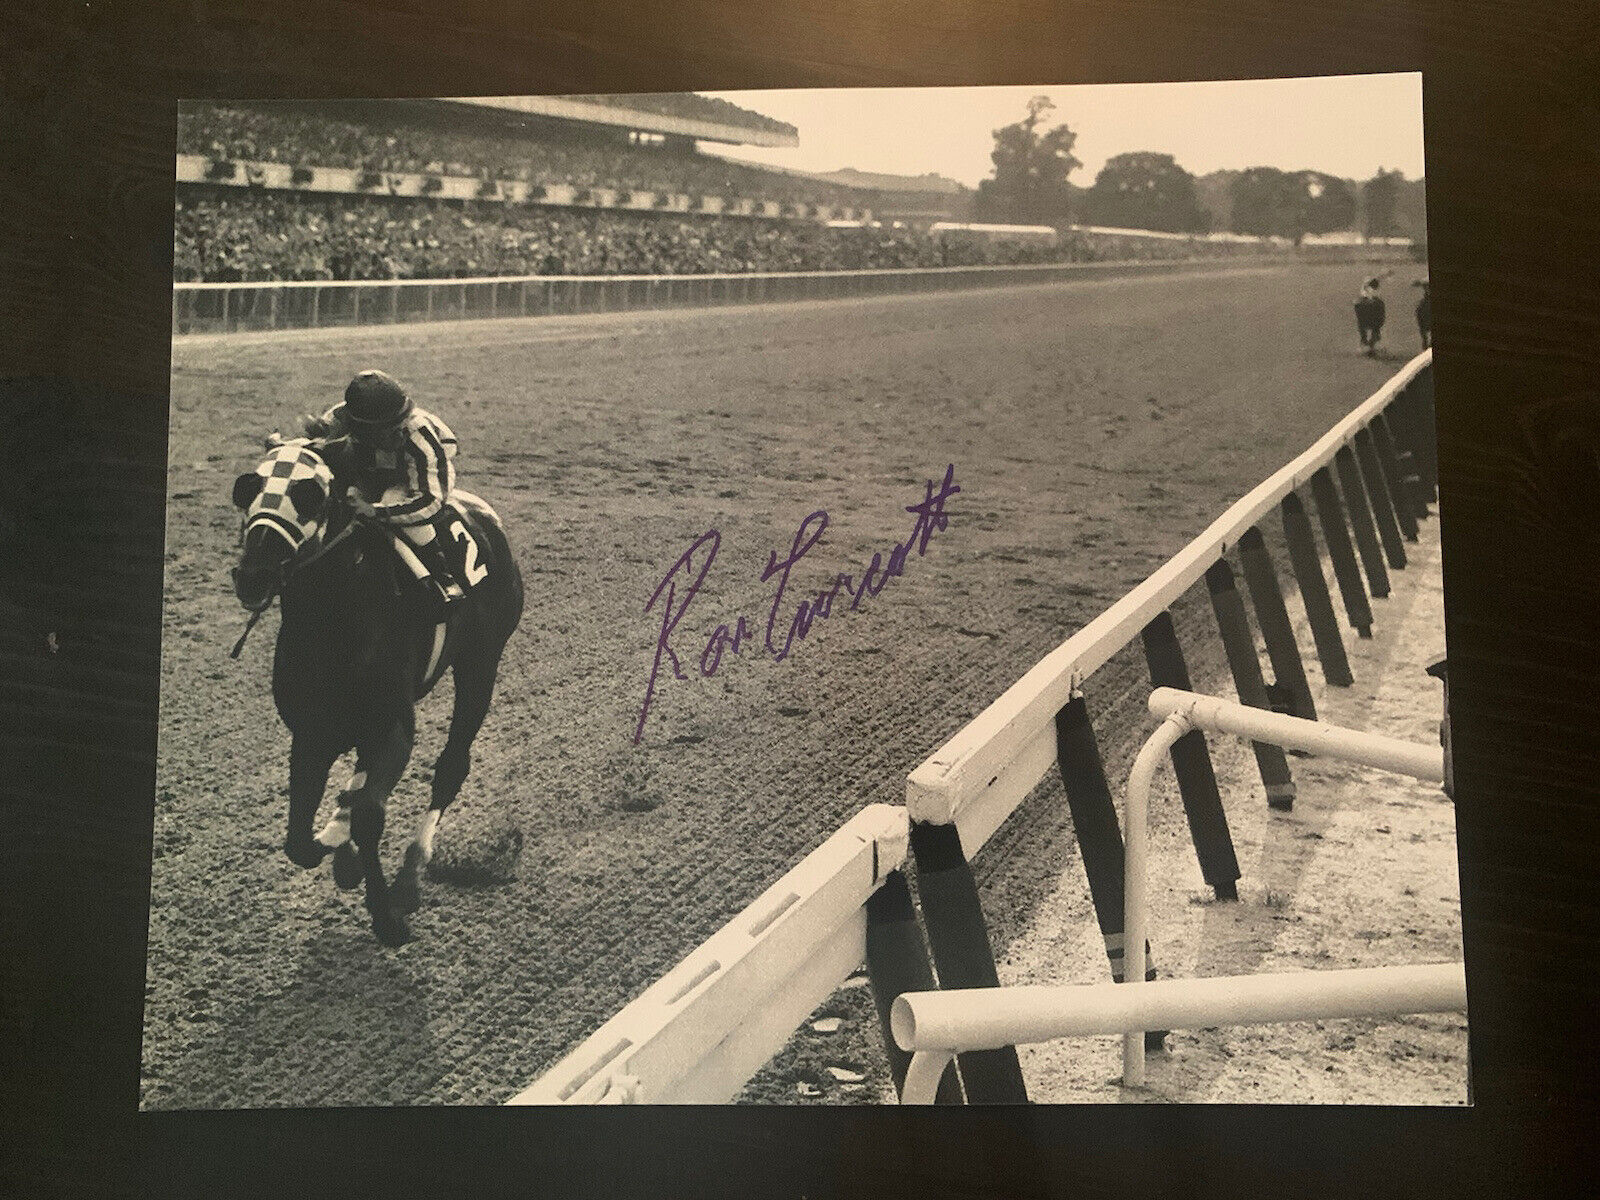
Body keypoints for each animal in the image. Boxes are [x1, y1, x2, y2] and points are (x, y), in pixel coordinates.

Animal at [232, 444, 524, 947]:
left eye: (310, 494)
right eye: (250, 488)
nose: (253, 574)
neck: (334, 622)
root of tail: (486, 515)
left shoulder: (393, 725)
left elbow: (371, 814)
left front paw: (387, 916)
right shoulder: (312, 733)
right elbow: (299, 839)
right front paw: (336, 844)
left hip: (481, 664)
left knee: (451, 767)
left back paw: (409, 874)